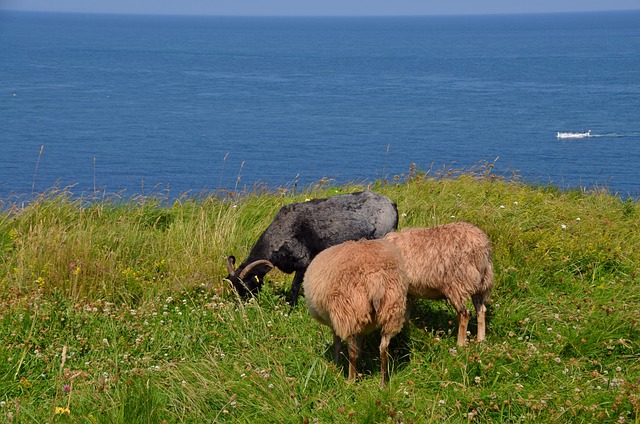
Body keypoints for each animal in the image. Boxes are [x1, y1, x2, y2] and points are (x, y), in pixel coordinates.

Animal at [224, 191, 396, 304]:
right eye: (233, 287)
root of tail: (392, 205)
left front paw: (292, 307)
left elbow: (295, 286)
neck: (281, 233)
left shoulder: (303, 263)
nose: (241, 307)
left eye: (246, 286)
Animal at [304, 238, 410, 388]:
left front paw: (335, 365)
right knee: (383, 349)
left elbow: (337, 344)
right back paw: (382, 383)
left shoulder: (336, 322)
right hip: (392, 311)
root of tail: (375, 277)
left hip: (349, 313)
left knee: (352, 351)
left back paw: (351, 380)